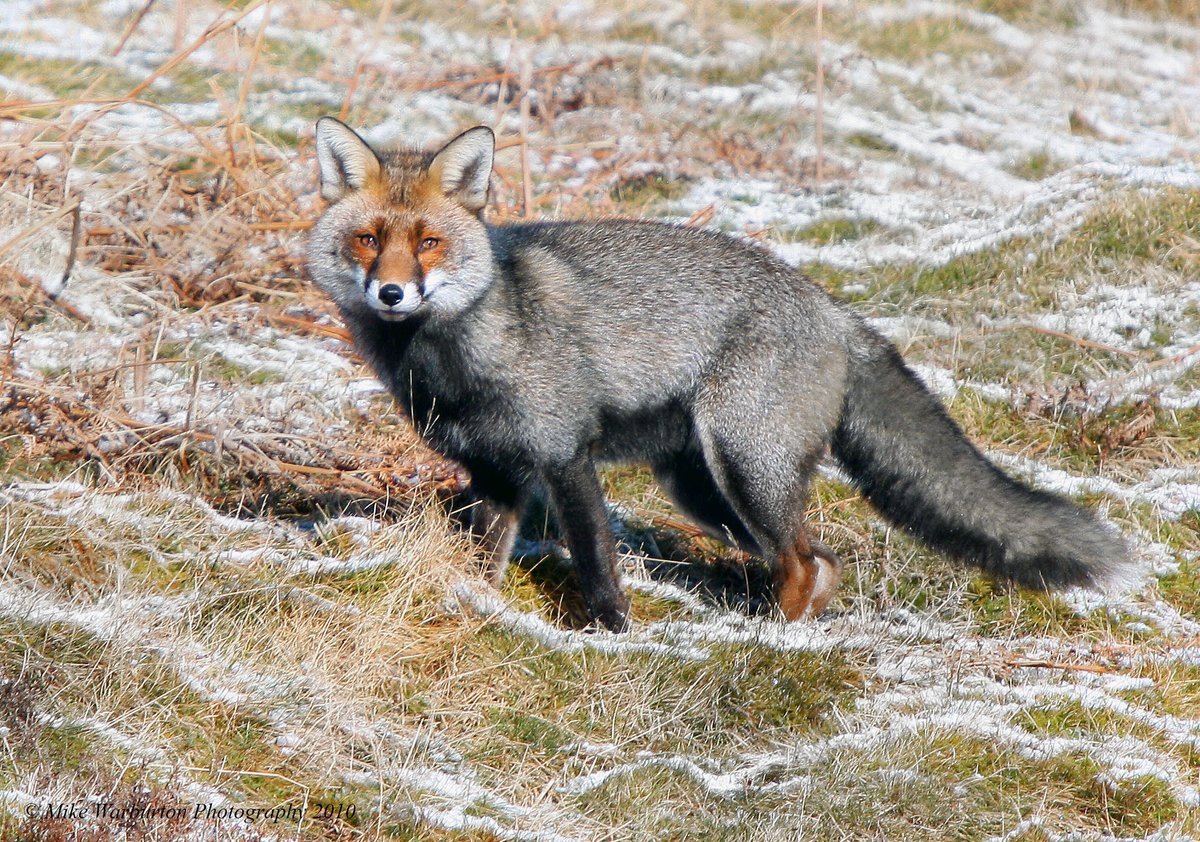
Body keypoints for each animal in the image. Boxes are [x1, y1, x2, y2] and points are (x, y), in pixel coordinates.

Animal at [304, 116, 1128, 633]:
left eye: (430, 242)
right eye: (370, 240)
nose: (391, 293)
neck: (454, 359)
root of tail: (833, 307)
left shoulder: (564, 455)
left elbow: (597, 563)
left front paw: (610, 635)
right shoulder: (496, 471)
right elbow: (485, 561)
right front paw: (480, 611)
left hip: (744, 468)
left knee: (807, 563)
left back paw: (767, 642)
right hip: (702, 489)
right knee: (820, 563)